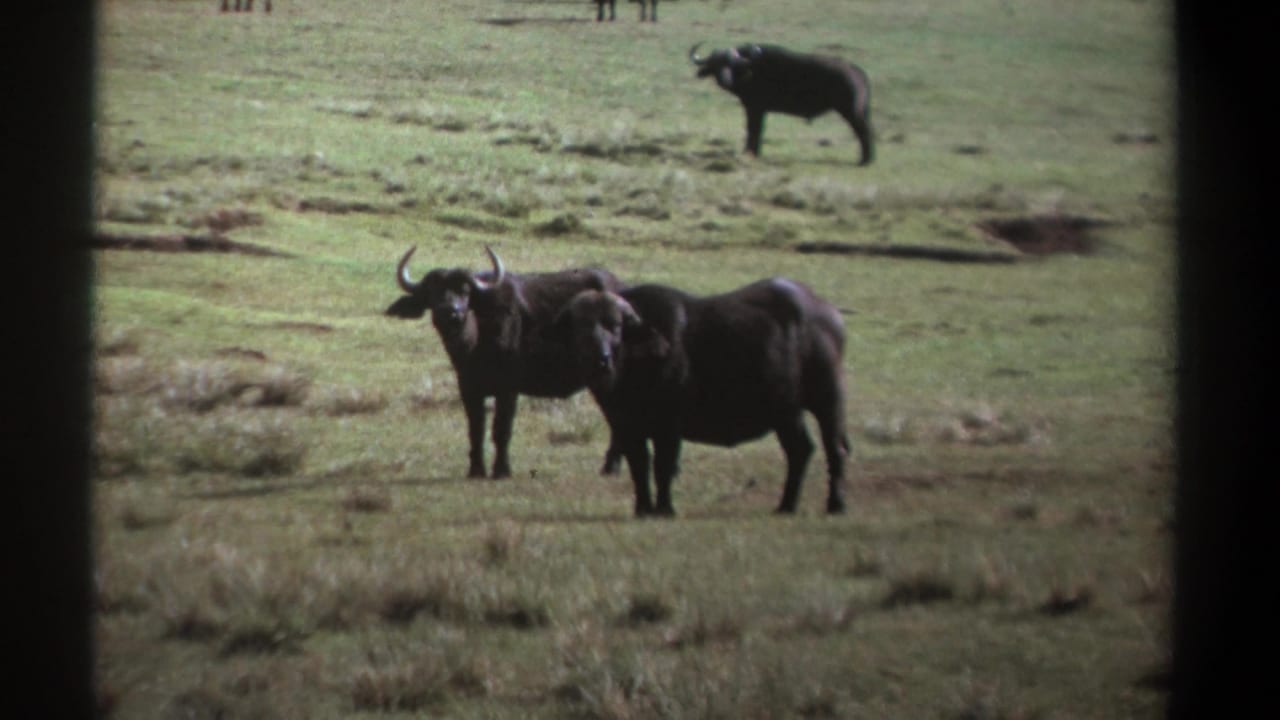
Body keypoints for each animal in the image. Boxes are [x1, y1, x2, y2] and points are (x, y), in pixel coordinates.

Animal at [387, 246, 623, 479]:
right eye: (432, 292)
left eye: (465, 291)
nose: (450, 312)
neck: (477, 341)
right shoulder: (468, 388)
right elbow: (476, 429)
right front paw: (476, 470)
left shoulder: (508, 389)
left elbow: (501, 429)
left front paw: (501, 469)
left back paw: (611, 466)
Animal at [557, 279, 851, 517]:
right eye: (580, 328)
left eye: (615, 326)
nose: (600, 359)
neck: (634, 369)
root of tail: (829, 313)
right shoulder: (626, 426)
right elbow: (639, 465)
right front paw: (642, 509)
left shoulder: (669, 425)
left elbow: (663, 465)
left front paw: (664, 509)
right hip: (787, 412)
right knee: (800, 450)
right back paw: (786, 506)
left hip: (827, 399)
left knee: (834, 448)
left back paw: (835, 504)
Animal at [689, 42, 873, 165]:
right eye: (715, 64)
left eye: (731, 65)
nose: (724, 81)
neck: (751, 70)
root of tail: (857, 71)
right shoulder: (758, 109)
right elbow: (756, 130)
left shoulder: (755, 108)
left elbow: (754, 129)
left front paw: (750, 152)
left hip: (851, 111)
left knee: (864, 132)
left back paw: (865, 161)